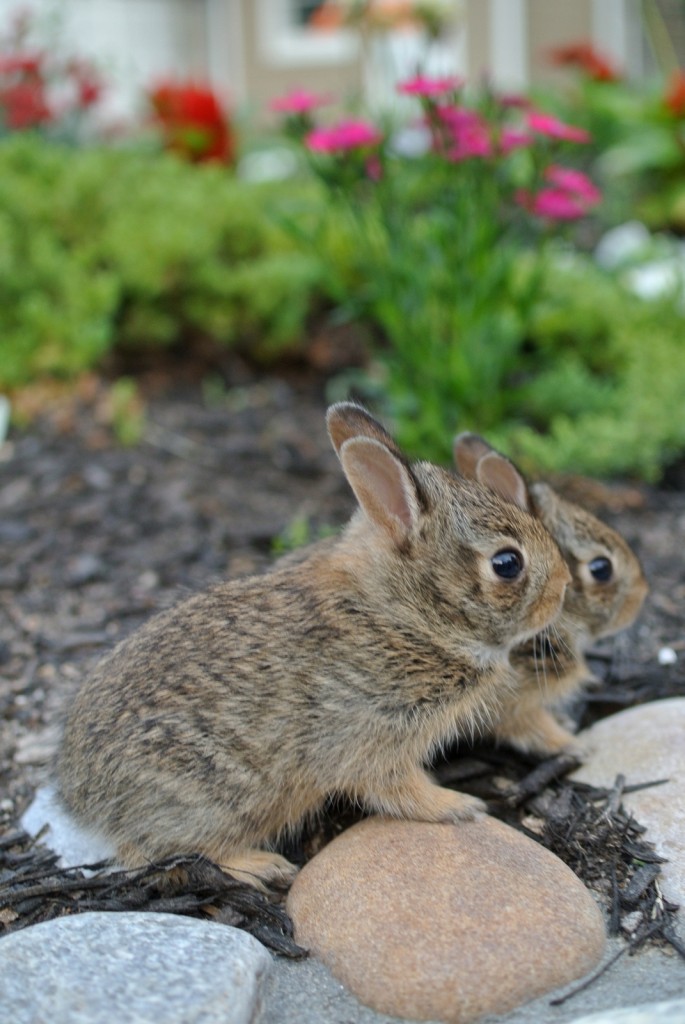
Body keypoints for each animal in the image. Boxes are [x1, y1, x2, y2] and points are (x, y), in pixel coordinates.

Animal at [56, 399, 569, 888]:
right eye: (507, 563)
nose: (563, 587)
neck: (406, 615)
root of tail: (83, 798)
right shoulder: (371, 733)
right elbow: (396, 789)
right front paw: (457, 805)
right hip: (218, 793)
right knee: (166, 851)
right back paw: (261, 866)